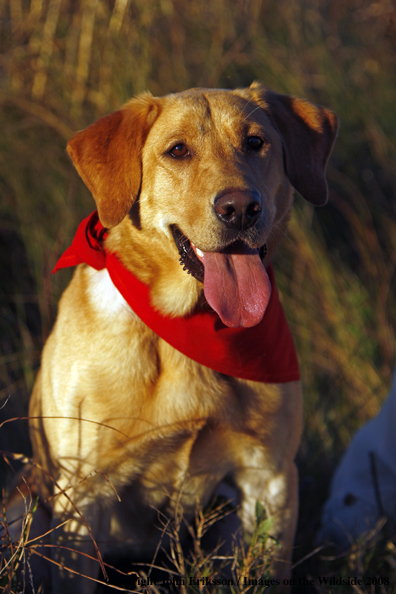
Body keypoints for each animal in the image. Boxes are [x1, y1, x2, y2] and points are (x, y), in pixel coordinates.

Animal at [17, 82, 338, 588]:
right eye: (178, 151)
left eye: (255, 142)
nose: (240, 208)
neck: (189, 327)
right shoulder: (83, 491)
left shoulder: (269, 476)